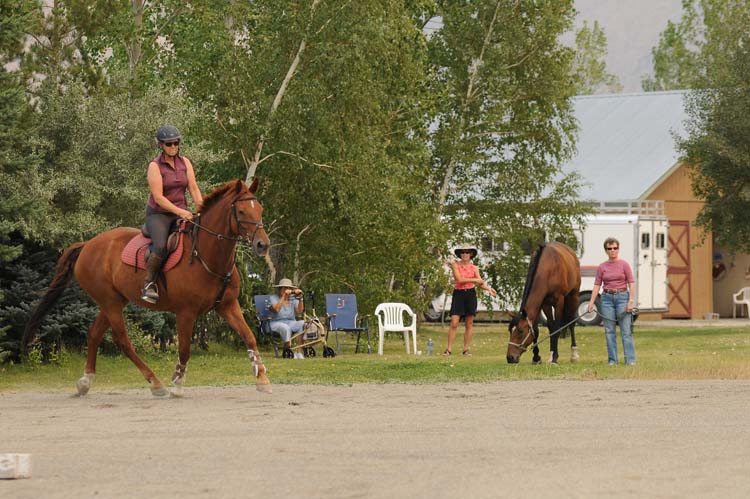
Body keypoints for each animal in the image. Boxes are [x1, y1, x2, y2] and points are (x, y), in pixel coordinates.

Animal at [23, 178, 276, 396]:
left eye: (260, 210)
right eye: (241, 212)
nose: (262, 245)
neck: (206, 255)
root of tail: (88, 245)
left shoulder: (228, 306)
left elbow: (249, 337)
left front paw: (262, 379)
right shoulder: (186, 313)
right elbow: (184, 348)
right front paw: (177, 383)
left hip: (113, 301)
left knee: (94, 333)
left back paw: (85, 382)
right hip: (110, 302)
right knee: (123, 341)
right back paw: (155, 383)